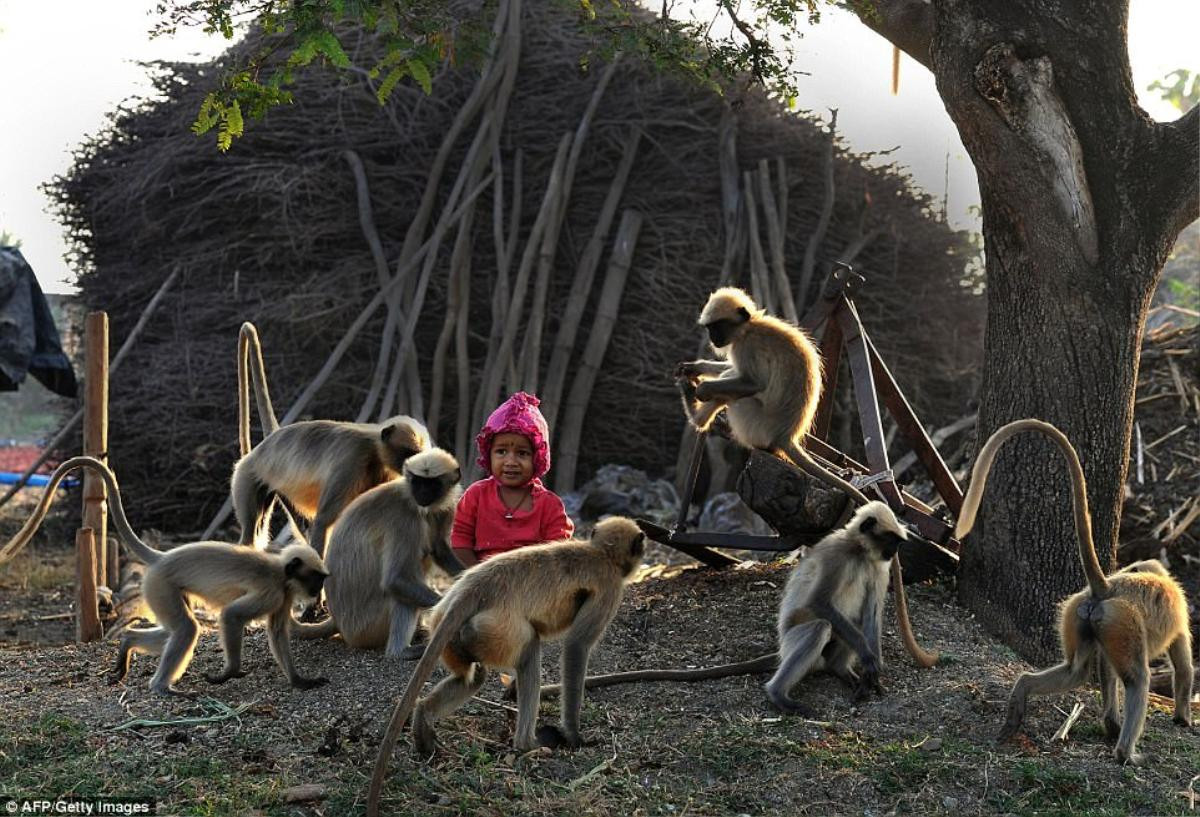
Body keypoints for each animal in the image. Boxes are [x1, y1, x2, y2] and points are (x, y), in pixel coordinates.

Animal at [1, 455, 328, 691]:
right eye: (316, 578)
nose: (316, 591)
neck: (281, 572)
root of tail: (163, 557)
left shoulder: (283, 596)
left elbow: (277, 632)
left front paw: (299, 681)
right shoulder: (272, 590)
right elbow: (231, 616)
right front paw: (229, 672)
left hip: (162, 590)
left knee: (175, 629)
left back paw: (129, 642)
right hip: (160, 585)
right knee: (187, 629)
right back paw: (161, 687)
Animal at [676, 283, 936, 667]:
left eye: (717, 327)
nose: (713, 339)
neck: (751, 327)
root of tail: (786, 436)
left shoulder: (747, 347)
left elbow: (750, 382)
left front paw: (703, 387)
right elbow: (726, 368)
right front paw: (694, 367)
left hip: (754, 422)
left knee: (736, 391)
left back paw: (697, 413)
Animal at [768, 501, 907, 710]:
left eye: (898, 542)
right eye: (891, 540)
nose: (895, 552)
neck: (859, 552)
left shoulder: (879, 566)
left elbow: (872, 614)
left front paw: (872, 675)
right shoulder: (837, 554)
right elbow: (819, 601)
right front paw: (868, 658)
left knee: (856, 622)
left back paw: (839, 668)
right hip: (789, 641)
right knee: (820, 627)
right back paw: (777, 694)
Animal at [955, 419, 1190, 763]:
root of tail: (1107, 586)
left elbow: (1104, 668)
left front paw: (1111, 722)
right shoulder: (1179, 618)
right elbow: (1184, 667)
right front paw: (1183, 718)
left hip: (1081, 612)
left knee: (1075, 671)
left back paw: (1025, 695)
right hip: (1120, 619)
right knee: (1137, 679)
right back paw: (1124, 753)